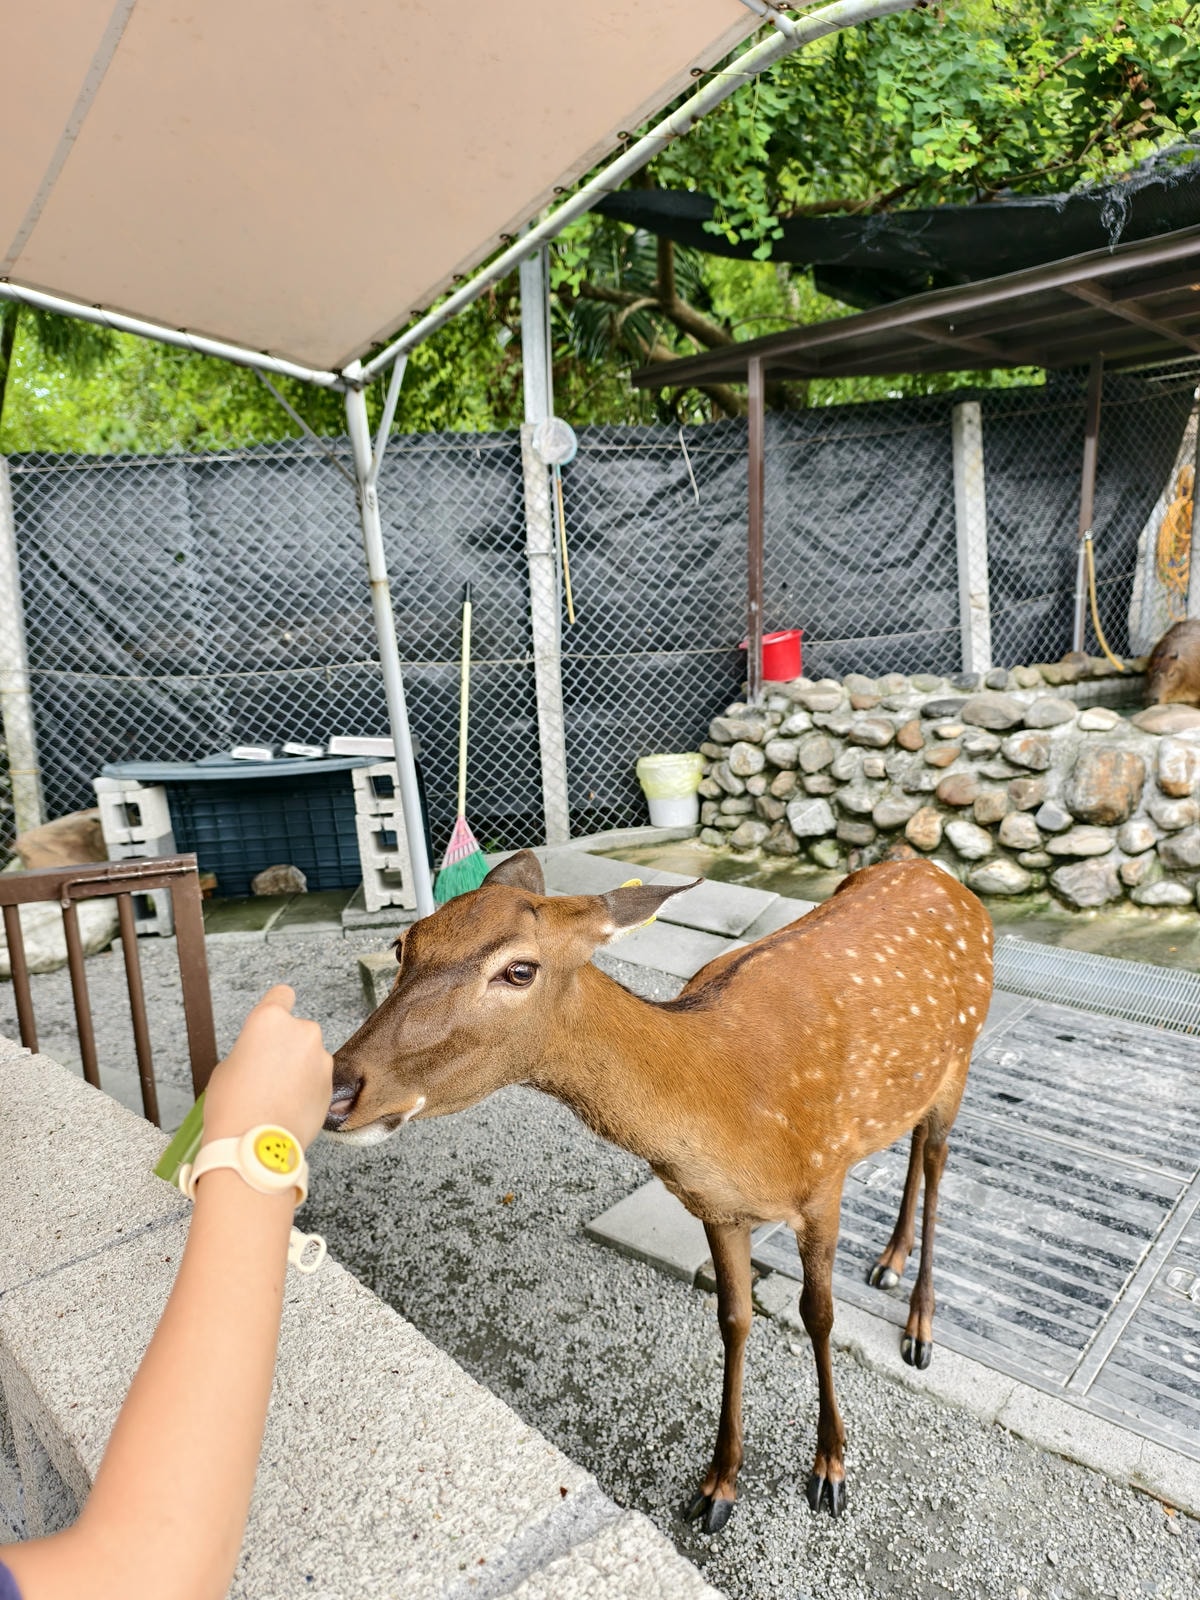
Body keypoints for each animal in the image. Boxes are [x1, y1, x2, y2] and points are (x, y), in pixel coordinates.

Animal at [324, 851, 994, 1531]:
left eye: (519, 969)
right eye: (403, 943)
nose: (336, 1089)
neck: (734, 1112)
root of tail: (938, 871)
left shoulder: (822, 1182)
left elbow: (819, 1315)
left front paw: (830, 1469)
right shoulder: (718, 1208)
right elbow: (733, 1319)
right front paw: (718, 1486)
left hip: (962, 1057)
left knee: (936, 1157)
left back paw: (919, 1324)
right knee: (911, 1139)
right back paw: (887, 1262)